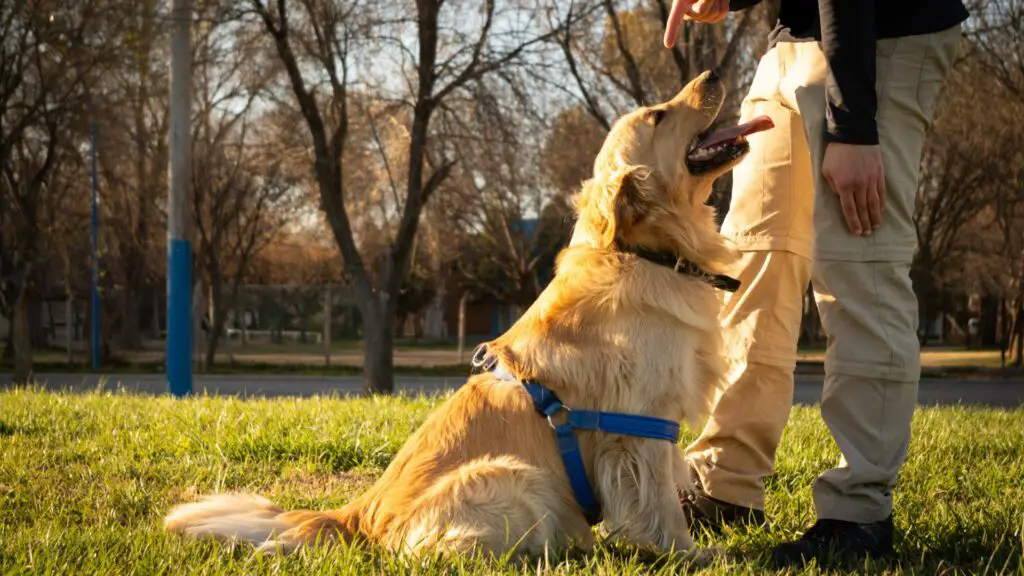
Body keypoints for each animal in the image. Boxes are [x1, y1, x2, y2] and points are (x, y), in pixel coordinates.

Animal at [165, 69, 774, 557]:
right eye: (658, 115)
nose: (713, 73)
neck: (644, 252)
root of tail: (357, 515)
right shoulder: (640, 425)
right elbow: (659, 504)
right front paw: (689, 554)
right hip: (515, 479)